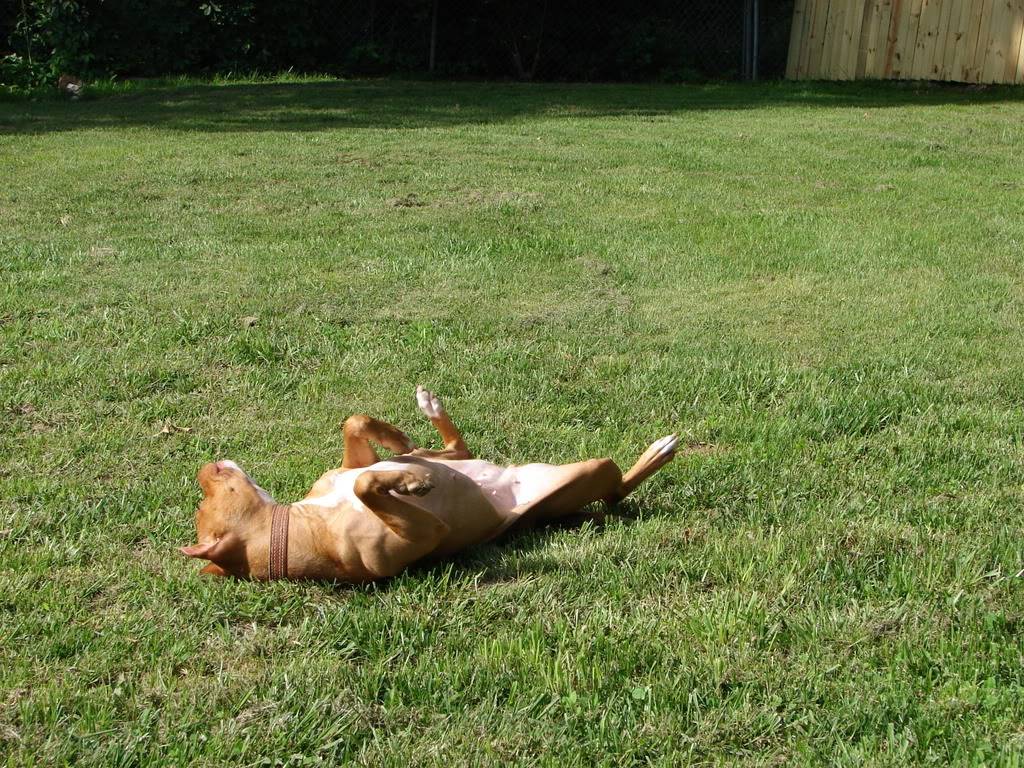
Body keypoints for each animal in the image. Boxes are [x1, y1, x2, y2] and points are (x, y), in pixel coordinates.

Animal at [182, 387, 679, 581]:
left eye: (201, 499)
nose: (202, 467)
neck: (305, 521)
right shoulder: (418, 536)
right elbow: (368, 487)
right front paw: (411, 482)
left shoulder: (345, 468)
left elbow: (354, 426)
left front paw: (394, 441)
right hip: (588, 473)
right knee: (617, 490)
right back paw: (660, 451)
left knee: (456, 448)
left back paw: (426, 416)